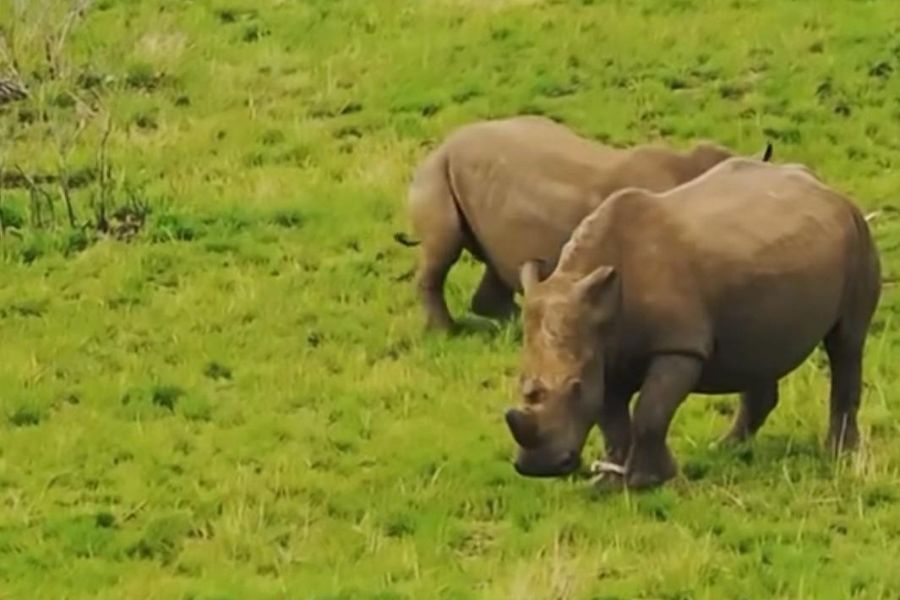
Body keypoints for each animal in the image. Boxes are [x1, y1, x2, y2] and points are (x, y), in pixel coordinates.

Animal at [397, 115, 772, 330]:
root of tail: (440, 145)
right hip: (436, 173)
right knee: (444, 249)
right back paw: (447, 332)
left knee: (500, 259)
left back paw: (517, 324)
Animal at [504, 157, 881, 489]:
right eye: (521, 383)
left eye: (575, 386)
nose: (538, 467)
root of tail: (827, 188)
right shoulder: (606, 350)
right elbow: (612, 418)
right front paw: (610, 482)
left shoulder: (680, 345)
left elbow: (650, 411)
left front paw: (647, 481)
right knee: (759, 352)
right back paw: (727, 449)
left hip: (858, 237)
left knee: (847, 343)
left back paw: (840, 455)